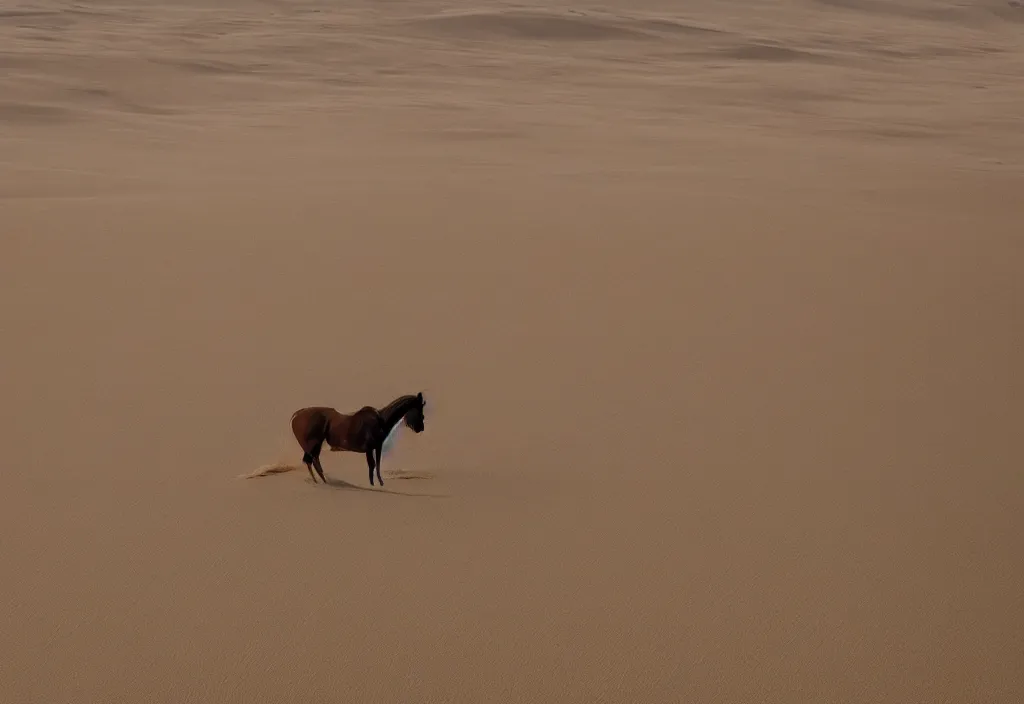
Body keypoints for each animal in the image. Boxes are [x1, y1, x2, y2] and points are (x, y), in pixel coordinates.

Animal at [290, 392, 425, 487]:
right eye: (419, 411)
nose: (421, 428)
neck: (381, 420)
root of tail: (296, 416)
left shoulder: (377, 446)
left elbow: (377, 465)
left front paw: (378, 483)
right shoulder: (370, 448)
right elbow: (373, 465)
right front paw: (373, 484)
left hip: (314, 446)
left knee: (311, 461)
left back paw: (319, 481)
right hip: (314, 444)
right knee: (313, 461)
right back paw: (324, 481)